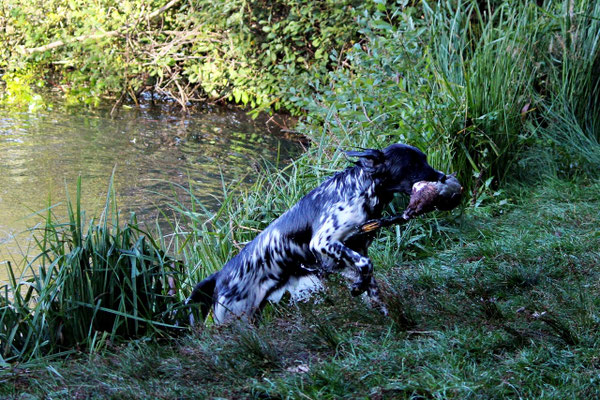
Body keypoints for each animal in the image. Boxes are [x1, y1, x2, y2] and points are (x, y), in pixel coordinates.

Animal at [186, 142, 446, 324]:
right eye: (413, 164)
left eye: (424, 158)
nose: (443, 177)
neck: (360, 189)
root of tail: (219, 275)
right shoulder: (324, 242)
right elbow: (366, 265)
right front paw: (358, 288)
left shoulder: (349, 253)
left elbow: (371, 282)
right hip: (233, 317)